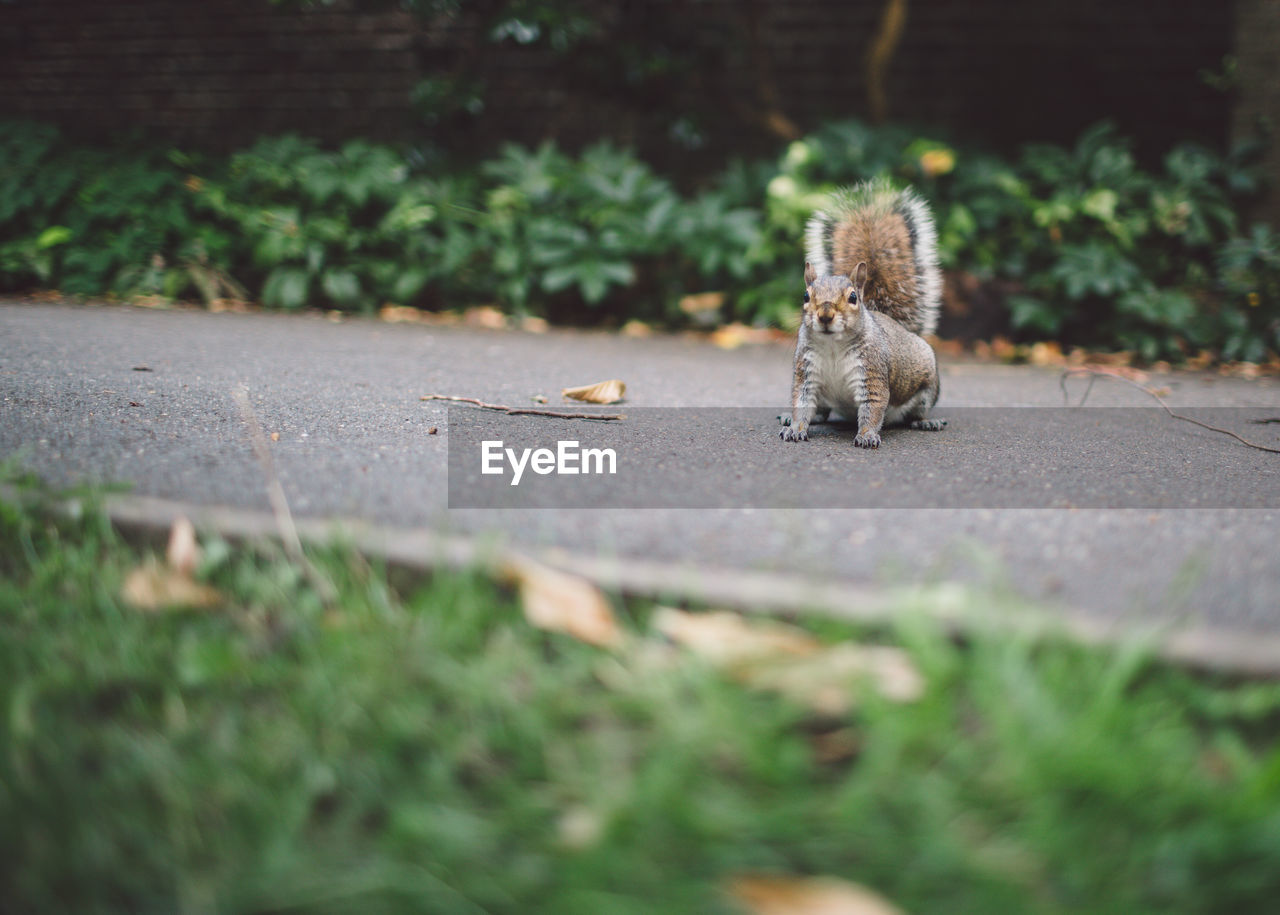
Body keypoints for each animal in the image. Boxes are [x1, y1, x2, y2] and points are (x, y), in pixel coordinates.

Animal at [773, 177, 947, 447]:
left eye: (853, 297)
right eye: (806, 296)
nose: (825, 316)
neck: (833, 346)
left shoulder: (872, 373)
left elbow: (873, 407)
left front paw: (866, 436)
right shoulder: (806, 374)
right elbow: (801, 403)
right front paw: (795, 428)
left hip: (926, 388)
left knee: (915, 413)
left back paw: (927, 422)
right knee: (821, 412)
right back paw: (791, 418)